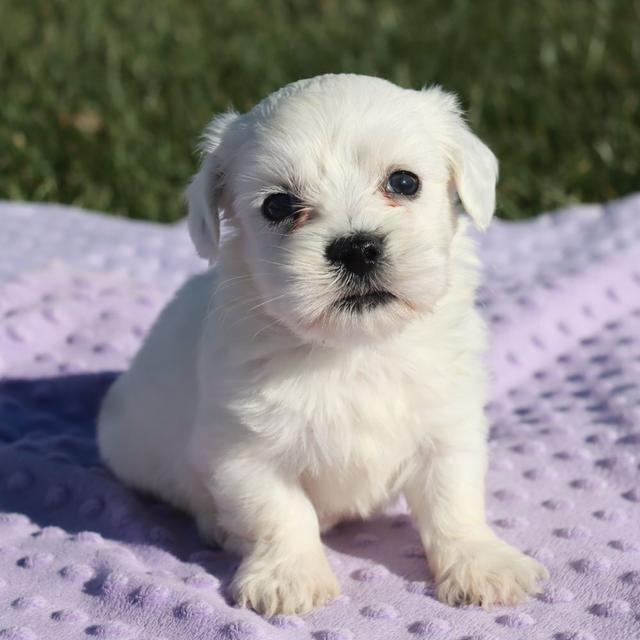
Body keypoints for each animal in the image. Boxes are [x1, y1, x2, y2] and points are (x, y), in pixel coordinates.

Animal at [97, 74, 548, 616]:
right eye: (278, 206)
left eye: (404, 182)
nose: (357, 247)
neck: (356, 350)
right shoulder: (243, 452)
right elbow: (280, 512)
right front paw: (289, 577)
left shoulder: (449, 427)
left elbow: (453, 502)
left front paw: (481, 563)